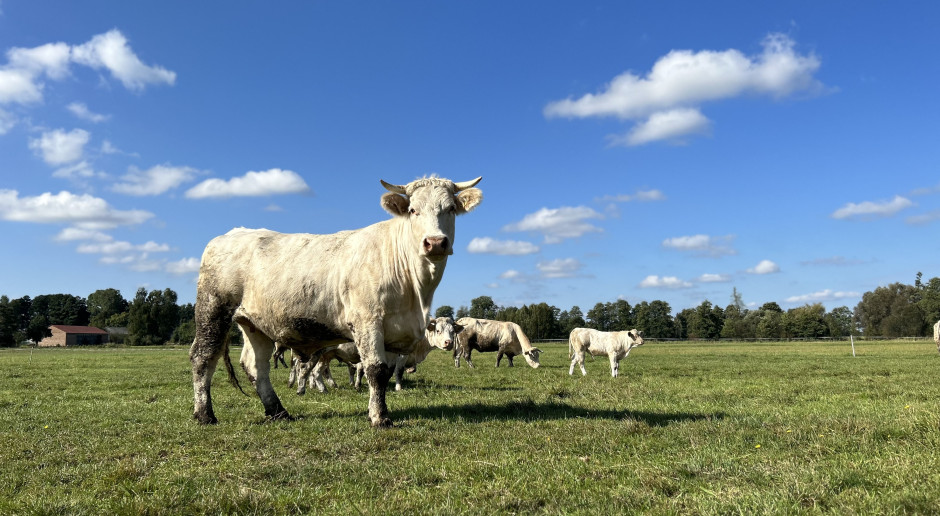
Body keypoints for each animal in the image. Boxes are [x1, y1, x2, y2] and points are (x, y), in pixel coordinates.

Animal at [189, 175, 483, 428]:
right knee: (203, 357)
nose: (435, 242)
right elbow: (375, 370)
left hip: (255, 323)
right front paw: (380, 418)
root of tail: (232, 234)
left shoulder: (392, 332)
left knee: (255, 365)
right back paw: (205, 414)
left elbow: (386, 372)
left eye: (450, 209)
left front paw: (378, 411)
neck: (416, 293)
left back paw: (278, 411)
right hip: (213, 310)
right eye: (413, 210)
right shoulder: (367, 320)